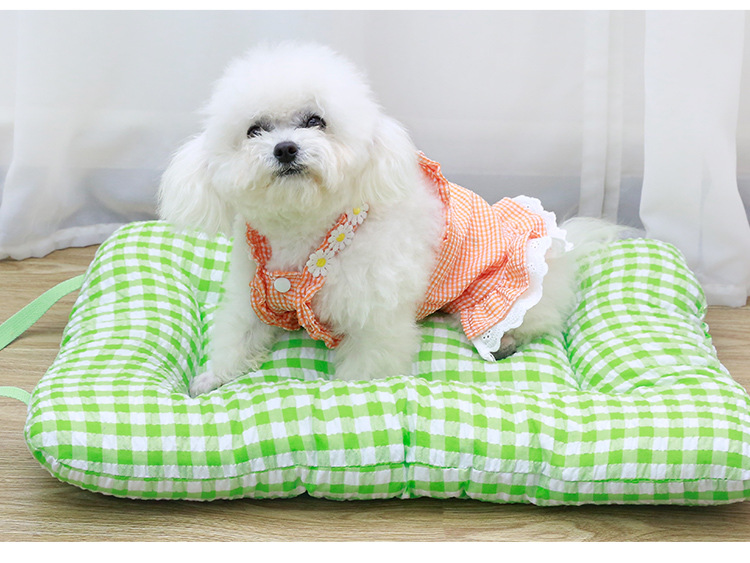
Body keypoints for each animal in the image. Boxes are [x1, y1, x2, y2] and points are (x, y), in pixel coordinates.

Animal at [158, 43, 616, 397]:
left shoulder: (375, 318)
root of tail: (559, 248)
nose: (285, 148)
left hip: (504, 290)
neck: (310, 235)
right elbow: (236, 335)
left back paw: (506, 340)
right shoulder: (252, 296)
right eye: (255, 130)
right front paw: (212, 378)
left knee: (538, 319)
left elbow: (366, 368)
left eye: (315, 121)